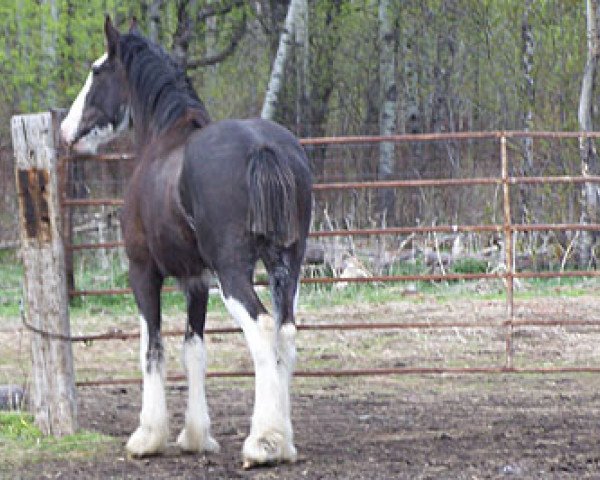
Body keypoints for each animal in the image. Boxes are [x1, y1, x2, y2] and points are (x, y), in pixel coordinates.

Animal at [59, 16, 314, 466]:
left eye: (97, 71)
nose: (66, 130)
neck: (164, 138)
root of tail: (264, 147)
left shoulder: (143, 272)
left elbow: (152, 347)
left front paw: (148, 436)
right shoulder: (197, 279)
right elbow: (194, 349)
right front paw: (196, 436)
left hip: (235, 273)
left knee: (263, 327)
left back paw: (262, 443)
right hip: (287, 265)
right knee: (285, 331)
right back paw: (283, 443)